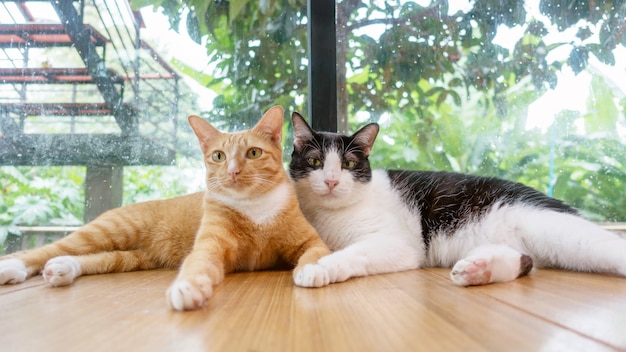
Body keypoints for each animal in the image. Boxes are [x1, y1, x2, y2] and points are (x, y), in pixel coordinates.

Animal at [0, 105, 332, 310]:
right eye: (219, 156)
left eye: (253, 153)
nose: (233, 171)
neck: (254, 207)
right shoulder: (211, 245)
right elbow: (199, 264)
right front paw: (189, 287)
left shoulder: (311, 241)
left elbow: (315, 255)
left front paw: (312, 271)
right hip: (106, 231)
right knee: (44, 250)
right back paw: (12, 268)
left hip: (132, 257)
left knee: (96, 258)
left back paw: (62, 268)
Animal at [288, 111, 626, 288]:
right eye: (316, 162)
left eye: (348, 164)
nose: (331, 181)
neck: (328, 215)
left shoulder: (395, 244)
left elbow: (350, 254)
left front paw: (317, 269)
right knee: (523, 260)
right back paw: (479, 270)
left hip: (562, 233)